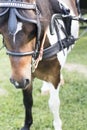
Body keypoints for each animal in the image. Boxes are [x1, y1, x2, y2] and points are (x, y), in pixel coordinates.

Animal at [0, 0, 79, 130]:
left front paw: (57, 125)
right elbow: (27, 101)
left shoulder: (53, 76)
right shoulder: (27, 76)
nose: (18, 81)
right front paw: (27, 125)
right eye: (1, 31)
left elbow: (53, 103)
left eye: (33, 30)